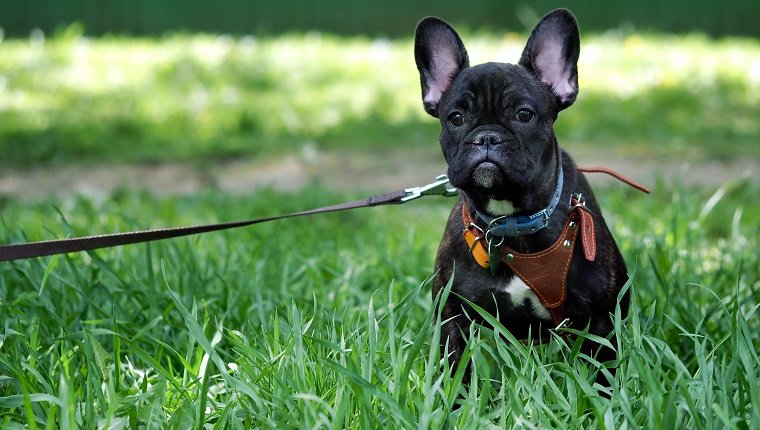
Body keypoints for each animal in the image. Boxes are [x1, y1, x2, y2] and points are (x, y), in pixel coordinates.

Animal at [416, 8, 628, 374]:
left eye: (524, 114)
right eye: (455, 118)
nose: (486, 137)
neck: (510, 220)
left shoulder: (600, 324)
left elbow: (604, 372)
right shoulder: (453, 319)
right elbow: (455, 368)